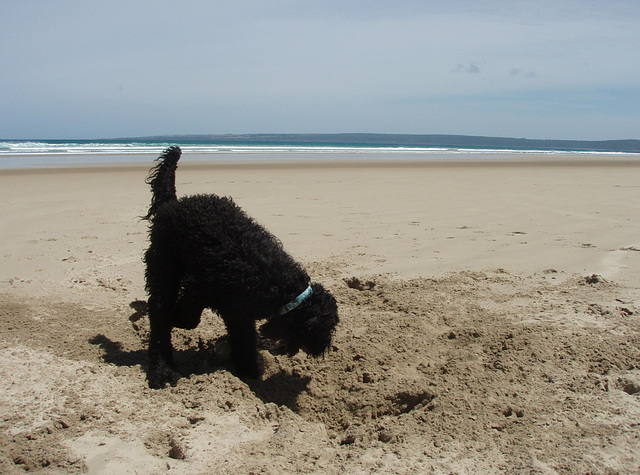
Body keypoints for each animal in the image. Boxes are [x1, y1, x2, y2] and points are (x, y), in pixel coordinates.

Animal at [142, 147, 338, 388]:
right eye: (324, 328)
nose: (323, 349)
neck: (277, 283)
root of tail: (171, 205)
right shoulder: (201, 287)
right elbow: (189, 318)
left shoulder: (239, 312)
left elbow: (244, 340)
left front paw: (250, 365)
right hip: (163, 268)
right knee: (159, 315)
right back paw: (162, 370)